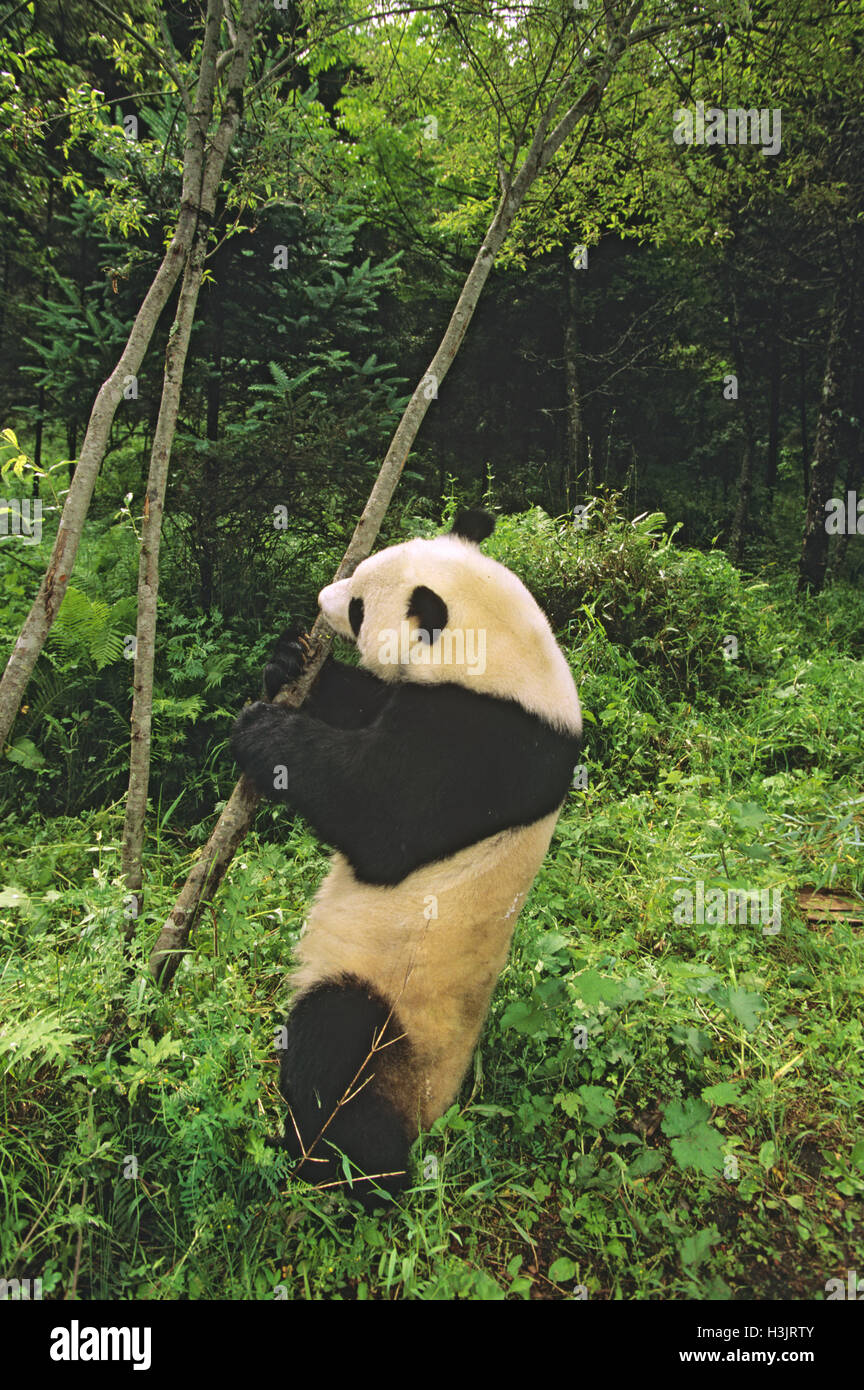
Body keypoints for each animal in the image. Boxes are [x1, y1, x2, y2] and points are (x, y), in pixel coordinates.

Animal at [231, 509, 581, 1205]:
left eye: (360, 606)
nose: (323, 599)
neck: (501, 656)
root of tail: (433, 1116)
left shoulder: (485, 745)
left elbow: (377, 813)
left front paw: (261, 730)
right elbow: (363, 708)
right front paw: (288, 661)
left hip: (394, 1024)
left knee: (336, 1040)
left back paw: (338, 1170)